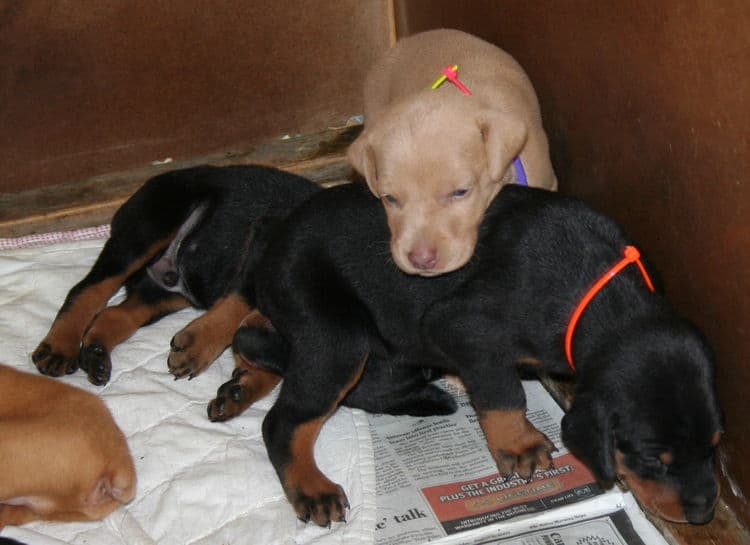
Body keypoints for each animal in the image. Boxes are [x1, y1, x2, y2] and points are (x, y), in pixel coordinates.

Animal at [212, 183, 724, 528]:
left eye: (715, 447)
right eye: (654, 458)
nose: (704, 513)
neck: (600, 294)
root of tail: (274, 237)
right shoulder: (460, 326)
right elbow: (502, 389)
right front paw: (518, 443)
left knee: (252, 333)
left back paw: (240, 385)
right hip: (337, 338)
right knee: (284, 416)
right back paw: (310, 485)